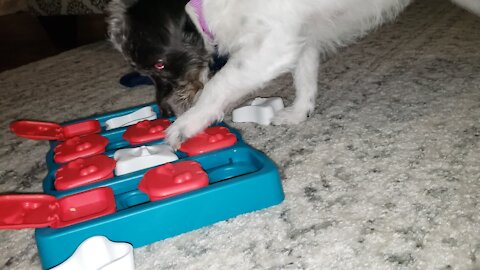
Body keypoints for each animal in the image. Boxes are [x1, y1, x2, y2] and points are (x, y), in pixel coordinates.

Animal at [108, 0, 480, 148]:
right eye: (143, 70)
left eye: (159, 65)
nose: (164, 113)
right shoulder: (299, 38)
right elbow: (305, 78)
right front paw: (299, 114)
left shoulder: (272, 45)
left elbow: (220, 84)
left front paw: (185, 126)